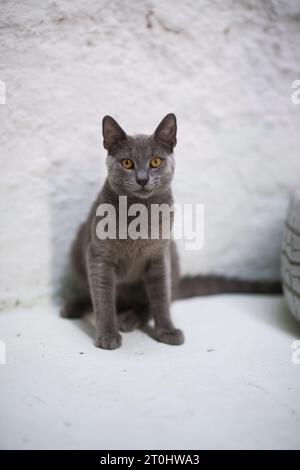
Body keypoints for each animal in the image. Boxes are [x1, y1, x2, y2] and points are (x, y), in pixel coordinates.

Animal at [61, 114, 282, 348]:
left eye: (155, 162)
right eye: (127, 163)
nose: (142, 179)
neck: (140, 214)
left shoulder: (160, 255)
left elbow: (160, 297)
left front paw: (166, 330)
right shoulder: (99, 256)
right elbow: (103, 297)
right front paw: (107, 335)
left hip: (172, 254)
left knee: (160, 299)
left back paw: (129, 318)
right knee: (94, 293)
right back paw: (75, 306)